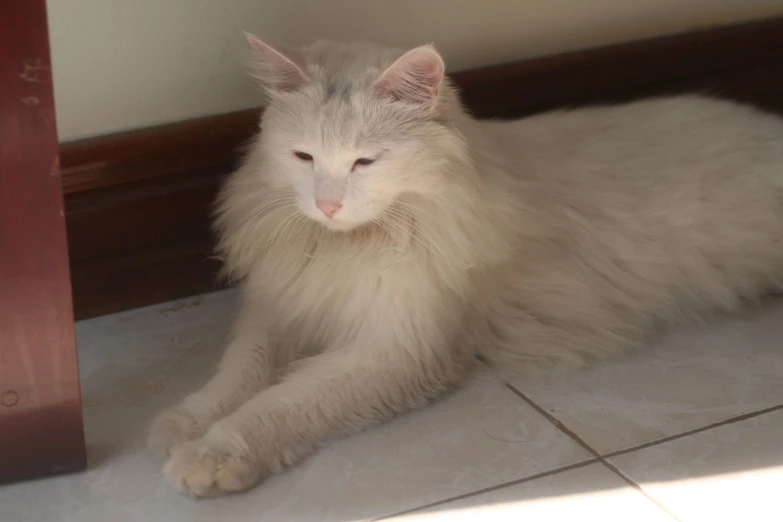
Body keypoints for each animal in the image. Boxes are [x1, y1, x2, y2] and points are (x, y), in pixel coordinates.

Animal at [147, 33, 783, 496]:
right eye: (303, 157)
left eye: (364, 162)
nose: (327, 206)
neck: (348, 246)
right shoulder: (279, 309)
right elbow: (238, 374)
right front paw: (182, 425)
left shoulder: (396, 349)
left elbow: (280, 404)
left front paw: (212, 455)